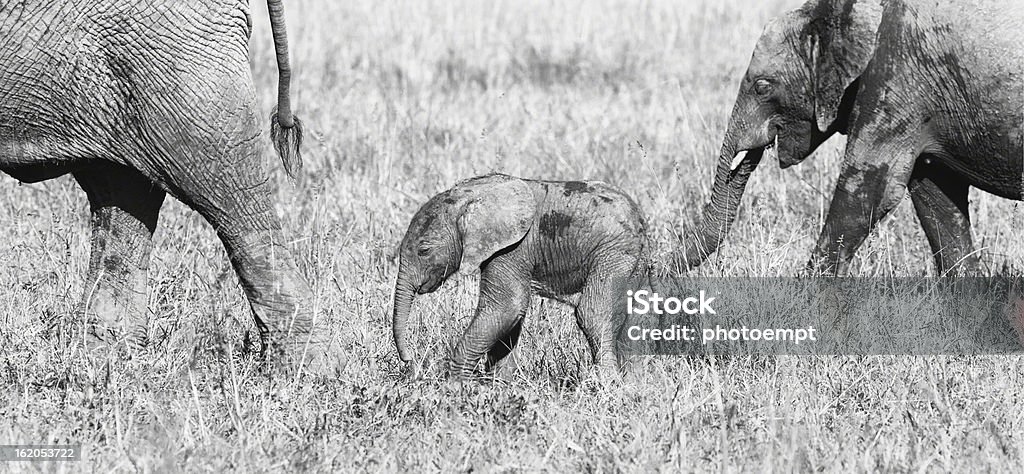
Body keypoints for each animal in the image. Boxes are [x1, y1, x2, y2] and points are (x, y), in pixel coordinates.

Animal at [391, 173, 647, 378]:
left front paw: (456, 387)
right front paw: (498, 385)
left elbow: (506, 307)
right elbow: (510, 319)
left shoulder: (513, 247)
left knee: (593, 313)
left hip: (614, 252)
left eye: (424, 250)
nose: (409, 360)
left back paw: (609, 384)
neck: (470, 194)